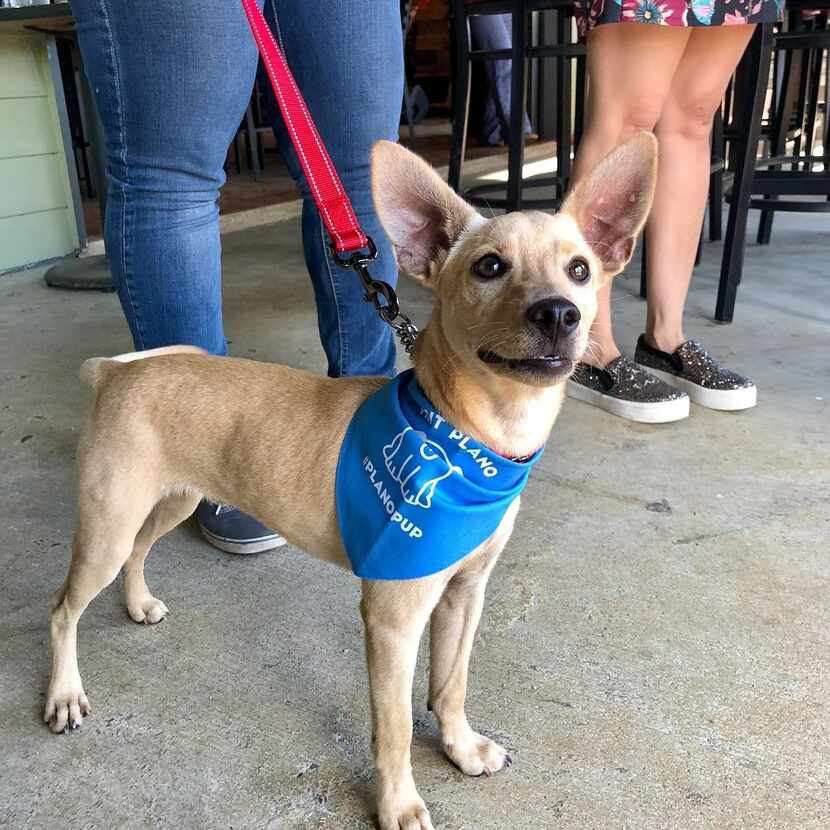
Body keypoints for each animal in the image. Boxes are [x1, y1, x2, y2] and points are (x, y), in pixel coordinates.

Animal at [45, 133, 656, 828]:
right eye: (489, 267)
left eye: (580, 270)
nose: (559, 313)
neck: (469, 436)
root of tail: (118, 371)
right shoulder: (392, 616)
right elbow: (394, 726)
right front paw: (398, 801)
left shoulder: (464, 593)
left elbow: (451, 684)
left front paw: (460, 746)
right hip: (107, 525)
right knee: (62, 610)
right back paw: (63, 693)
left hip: (170, 501)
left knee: (140, 551)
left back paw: (137, 602)